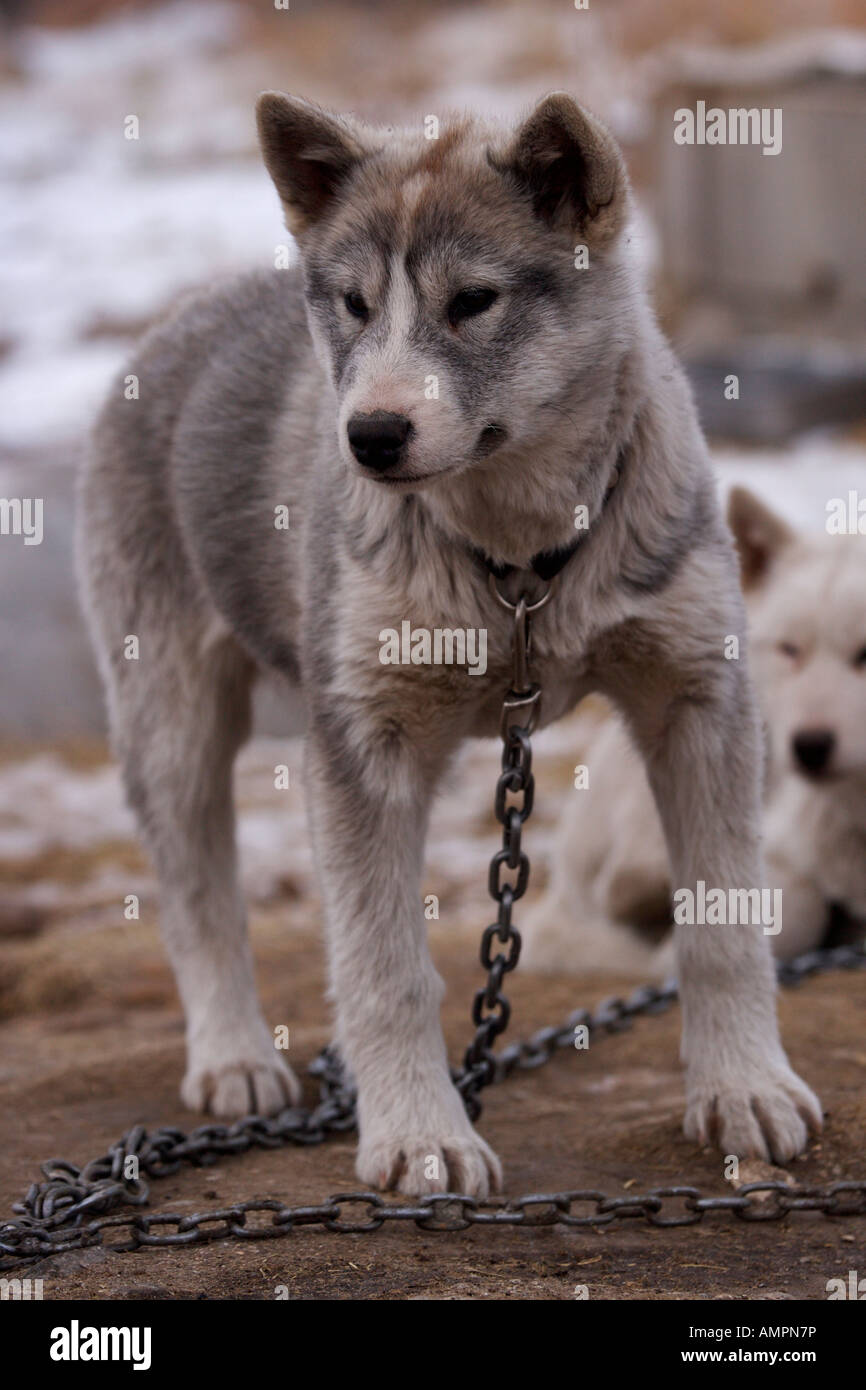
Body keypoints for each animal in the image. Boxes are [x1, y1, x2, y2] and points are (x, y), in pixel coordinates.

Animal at [77, 92, 822, 1195]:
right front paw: (420, 1136)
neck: (517, 566)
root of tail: (177, 320)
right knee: (198, 896)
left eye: (472, 301)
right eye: (351, 305)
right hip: (169, 717)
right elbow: (383, 964)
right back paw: (234, 1056)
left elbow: (724, 926)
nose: (371, 436)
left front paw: (742, 1089)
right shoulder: (364, 737)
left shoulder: (697, 697)